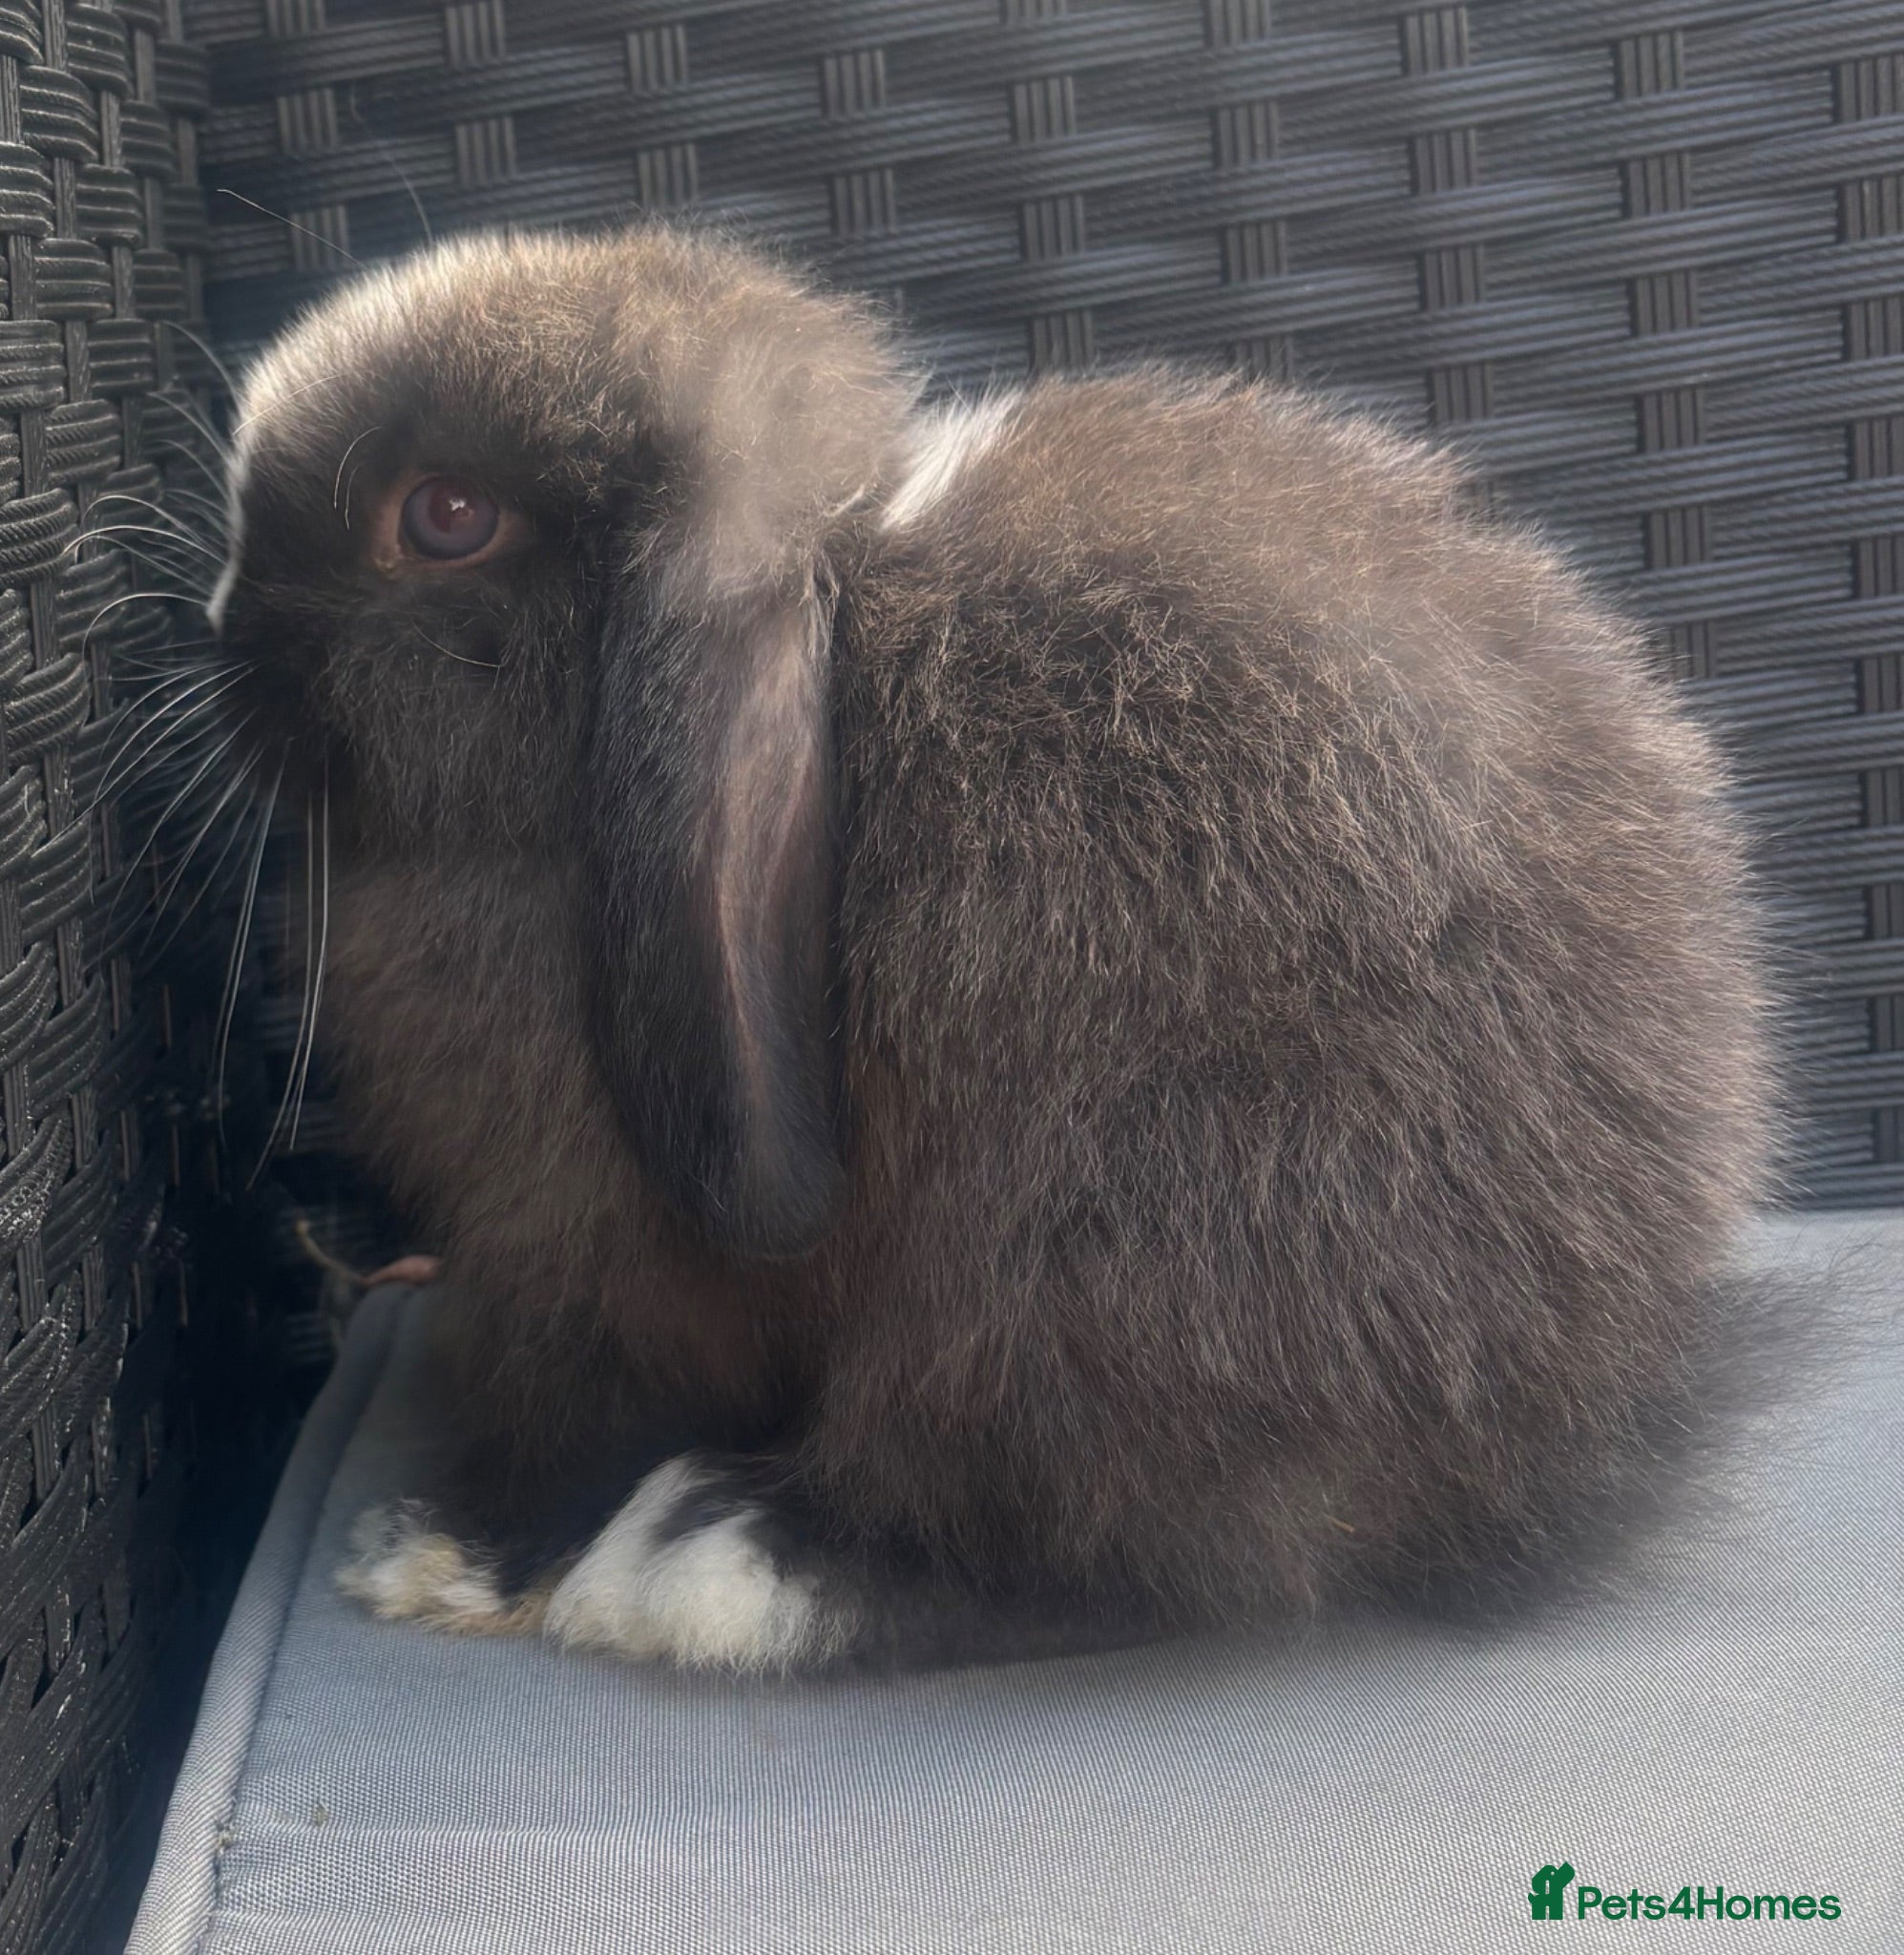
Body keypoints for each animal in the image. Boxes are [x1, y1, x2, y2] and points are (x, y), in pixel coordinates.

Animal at [203, 224, 1778, 1674]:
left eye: (445, 515)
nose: (224, 631)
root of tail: (1578, 1410)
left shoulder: (584, 1251)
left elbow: (580, 1404)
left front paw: (438, 1552)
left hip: (1111, 1258)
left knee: (1087, 1536)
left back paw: (713, 1558)